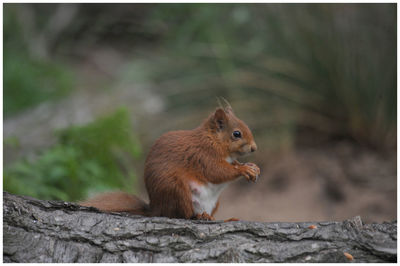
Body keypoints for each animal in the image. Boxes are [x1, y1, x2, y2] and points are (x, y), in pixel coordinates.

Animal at [79, 104, 260, 220]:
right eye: (236, 134)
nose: (254, 148)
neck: (213, 140)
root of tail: (156, 208)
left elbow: (231, 165)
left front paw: (252, 167)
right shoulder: (202, 155)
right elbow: (217, 171)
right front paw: (243, 170)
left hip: (213, 202)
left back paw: (217, 217)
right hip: (177, 189)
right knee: (181, 215)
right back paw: (199, 216)